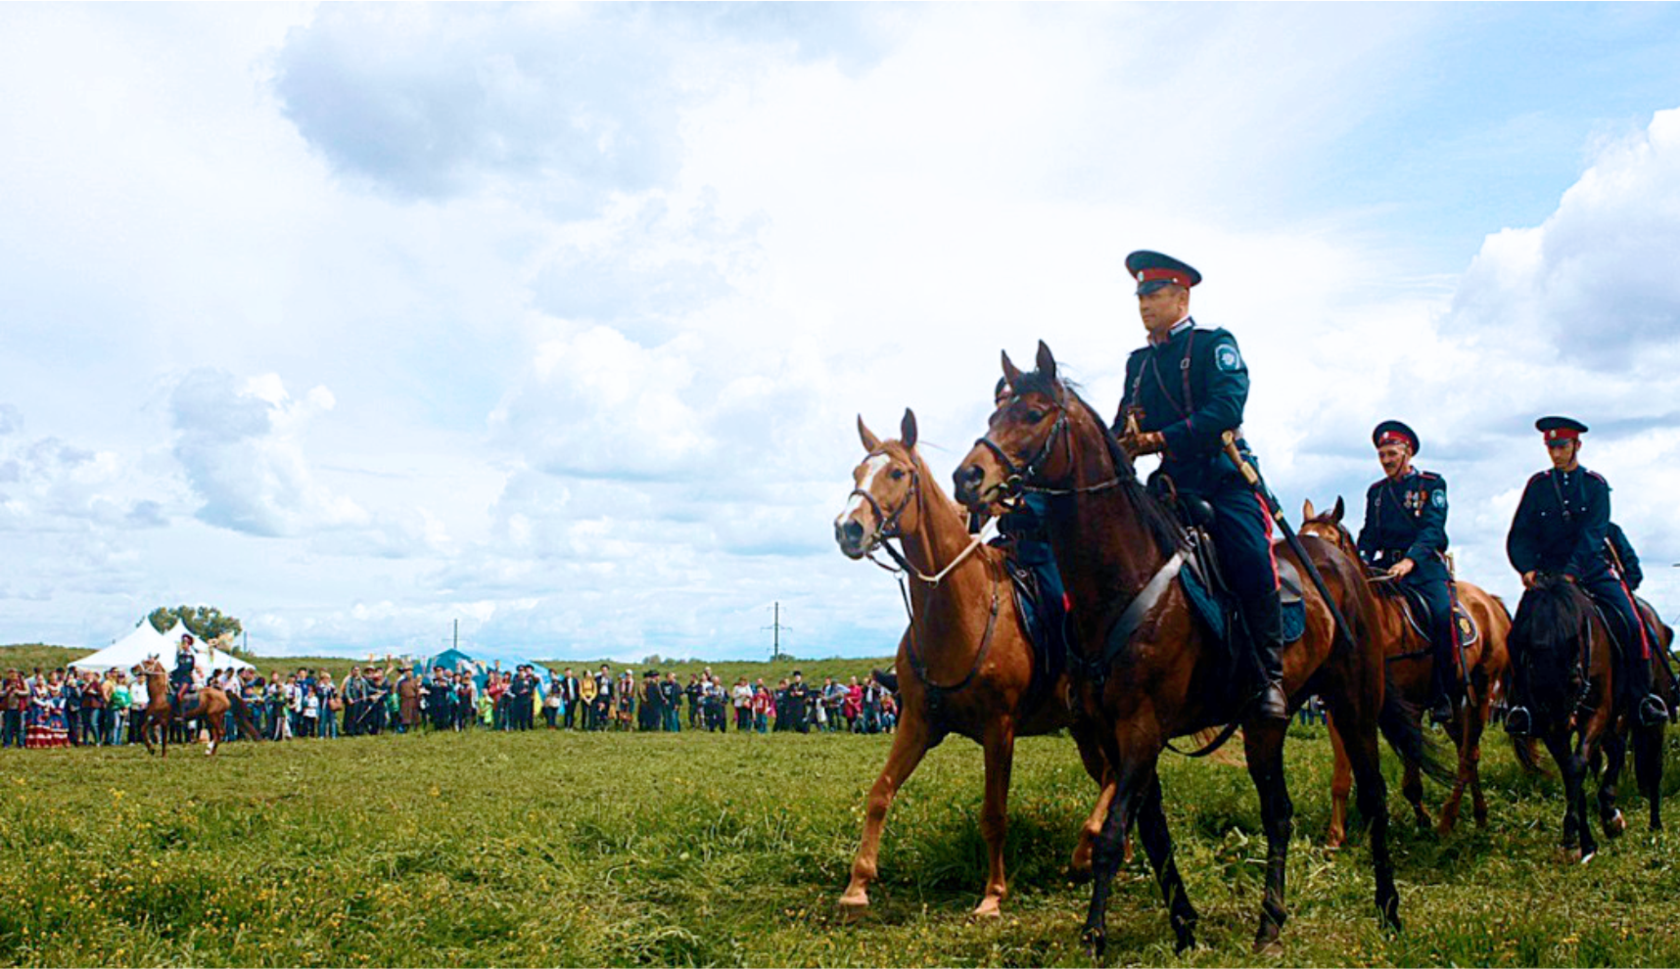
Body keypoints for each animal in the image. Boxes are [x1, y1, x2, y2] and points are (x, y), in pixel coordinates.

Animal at [829, 409, 1115, 920]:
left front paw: (993, 895)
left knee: (1118, 775)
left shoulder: (999, 728)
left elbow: (994, 813)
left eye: (897, 473)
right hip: (1083, 728)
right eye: (857, 472)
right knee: (1112, 774)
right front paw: (857, 885)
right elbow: (880, 792)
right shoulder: (917, 722)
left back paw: (1087, 849)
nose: (849, 529)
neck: (962, 605)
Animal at [954, 339, 1424, 953]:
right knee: (1278, 812)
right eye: (992, 417)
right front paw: (1183, 927)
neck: (1125, 577)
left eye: (1032, 414)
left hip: (1353, 703)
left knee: (1373, 797)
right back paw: (1270, 923)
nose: (967, 478)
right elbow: (1152, 835)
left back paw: (1388, 910)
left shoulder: (1142, 729)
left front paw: (1095, 935)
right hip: (1265, 723)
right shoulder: (1113, 732)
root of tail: (1346, 567)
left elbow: (1113, 835)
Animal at [1290, 493, 1518, 843]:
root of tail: (1490, 601)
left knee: (1468, 755)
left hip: (1480, 692)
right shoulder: (1341, 708)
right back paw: (1479, 815)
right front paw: (1335, 838)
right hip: (1455, 701)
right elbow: (1343, 775)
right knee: (1469, 751)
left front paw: (1421, 819)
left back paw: (1448, 821)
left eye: (1329, 547)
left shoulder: (1410, 707)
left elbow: (1411, 770)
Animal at [1512, 574, 1666, 853]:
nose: (1561, 725)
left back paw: (1654, 825)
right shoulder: (1547, 724)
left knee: (1654, 766)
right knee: (1615, 751)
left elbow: (1576, 766)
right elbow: (1571, 771)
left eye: (1574, 681)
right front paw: (1584, 840)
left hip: (1650, 718)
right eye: (1532, 679)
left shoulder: (1597, 713)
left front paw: (1576, 836)